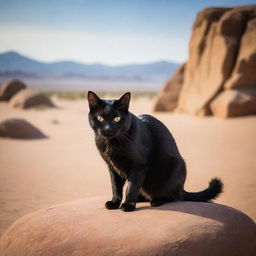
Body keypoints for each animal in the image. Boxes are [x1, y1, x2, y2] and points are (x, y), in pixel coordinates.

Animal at [87, 91, 222, 211]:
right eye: (100, 118)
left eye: (117, 118)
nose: (108, 129)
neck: (111, 143)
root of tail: (182, 189)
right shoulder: (112, 167)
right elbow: (115, 187)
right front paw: (115, 203)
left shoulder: (139, 165)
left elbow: (131, 186)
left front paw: (128, 205)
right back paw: (140, 199)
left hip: (176, 167)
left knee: (174, 196)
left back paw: (157, 200)